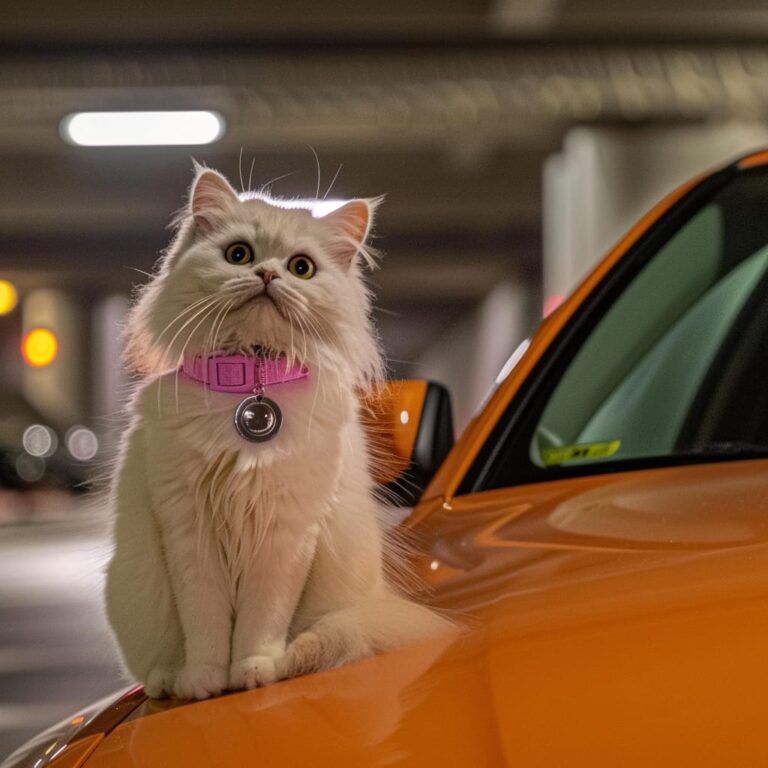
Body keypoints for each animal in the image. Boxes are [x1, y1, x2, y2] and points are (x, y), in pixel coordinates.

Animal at [103, 165, 450, 700]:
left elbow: (260, 620)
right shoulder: (189, 528)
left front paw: (252, 671)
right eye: (238, 255)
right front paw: (204, 681)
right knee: (154, 665)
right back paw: (168, 680)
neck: (251, 385)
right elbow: (205, 623)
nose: (267, 274)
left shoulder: (285, 533)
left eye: (301, 268)